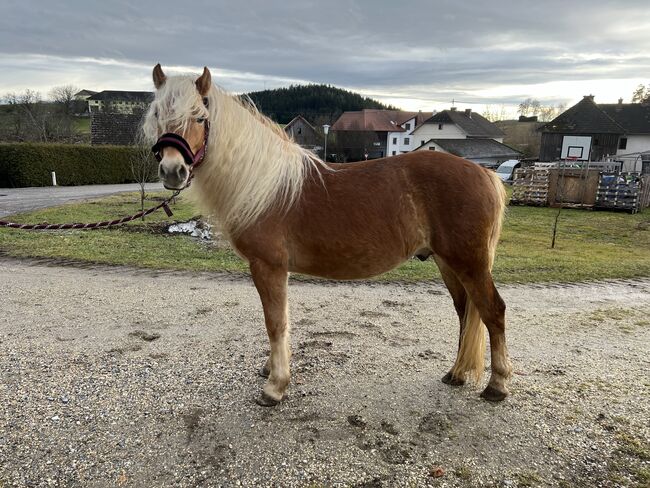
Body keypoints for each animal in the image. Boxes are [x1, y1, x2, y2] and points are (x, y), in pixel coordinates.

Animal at [143, 65, 512, 408]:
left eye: (200, 117)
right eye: (159, 115)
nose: (172, 171)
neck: (263, 184)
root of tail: (486, 174)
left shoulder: (267, 266)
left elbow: (275, 322)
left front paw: (275, 386)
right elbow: (279, 320)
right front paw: (271, 370)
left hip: (470, 264)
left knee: (492, 311)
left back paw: (497, 385)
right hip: (449, 264)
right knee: (466, 312)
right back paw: (457, 373)